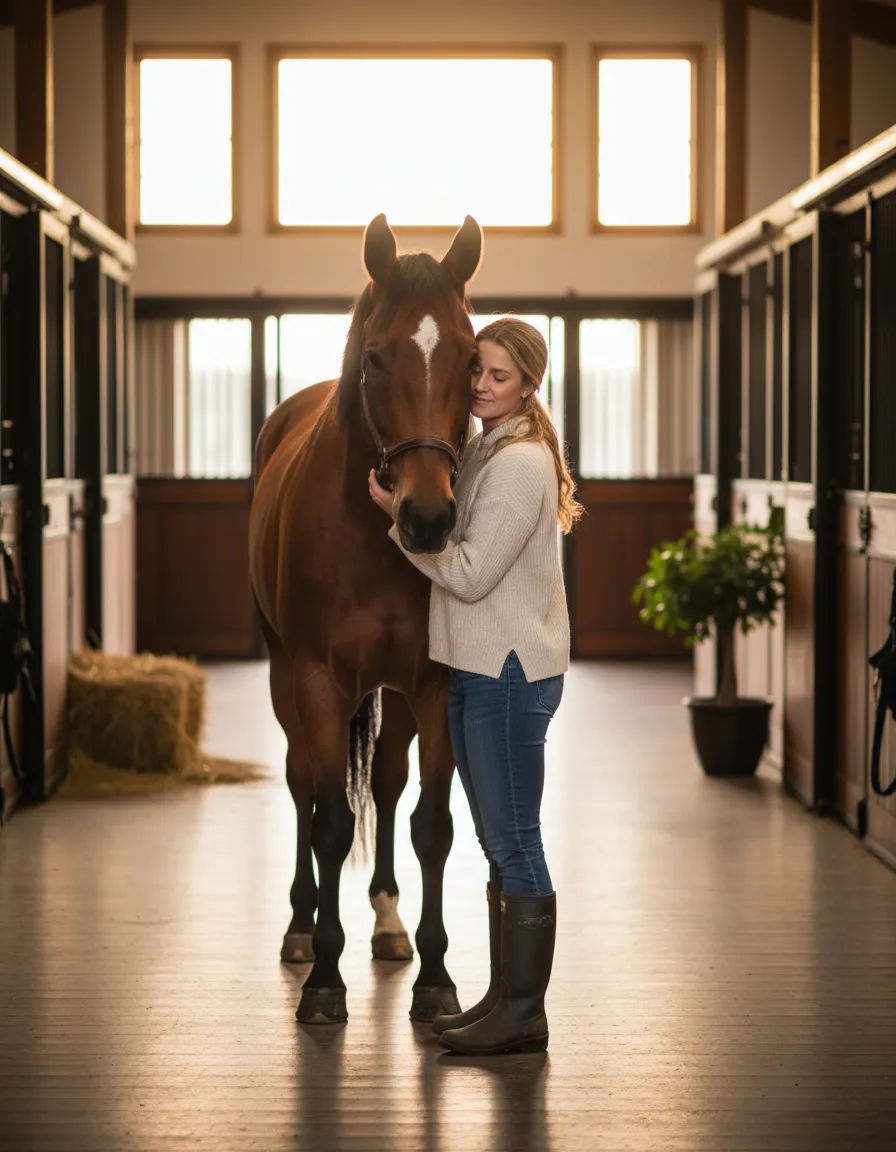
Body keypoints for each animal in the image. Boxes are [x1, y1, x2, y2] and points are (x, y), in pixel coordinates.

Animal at [249, 214, 483, 1025]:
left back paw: (386, 922)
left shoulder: (437, 685)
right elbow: (327, 821)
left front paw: (438, 979)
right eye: (377, 357)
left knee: (383, 782)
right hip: (285, 680)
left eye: (472, 357)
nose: (427, 517)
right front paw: (324, 978)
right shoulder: (317, 681)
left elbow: (432, 825)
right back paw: (297, 927)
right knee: (302, 785)